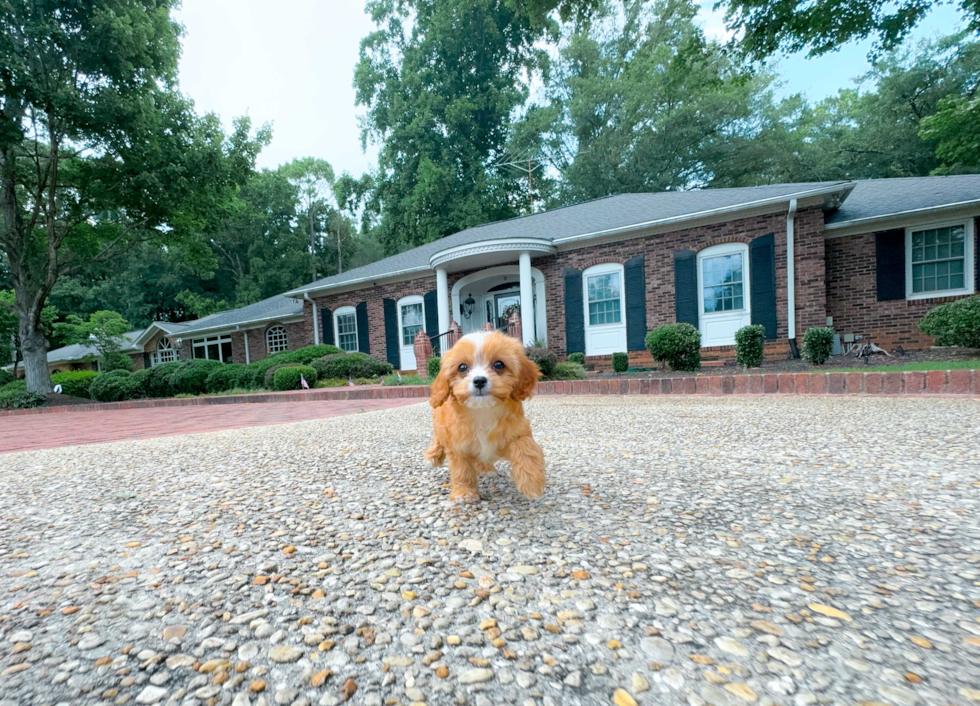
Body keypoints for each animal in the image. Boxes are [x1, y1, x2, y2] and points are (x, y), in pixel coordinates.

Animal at [422, 332, 544, 500]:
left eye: (499, 364)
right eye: (462, 367)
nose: (479, 380)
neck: (483, 410)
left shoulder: (517, 430)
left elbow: (526, 447)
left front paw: (532, 483)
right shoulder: (458, 444)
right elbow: (462, 469)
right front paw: (464, 492)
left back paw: (485, 469)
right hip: (440, 424)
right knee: (438, 439)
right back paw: (431, 457)